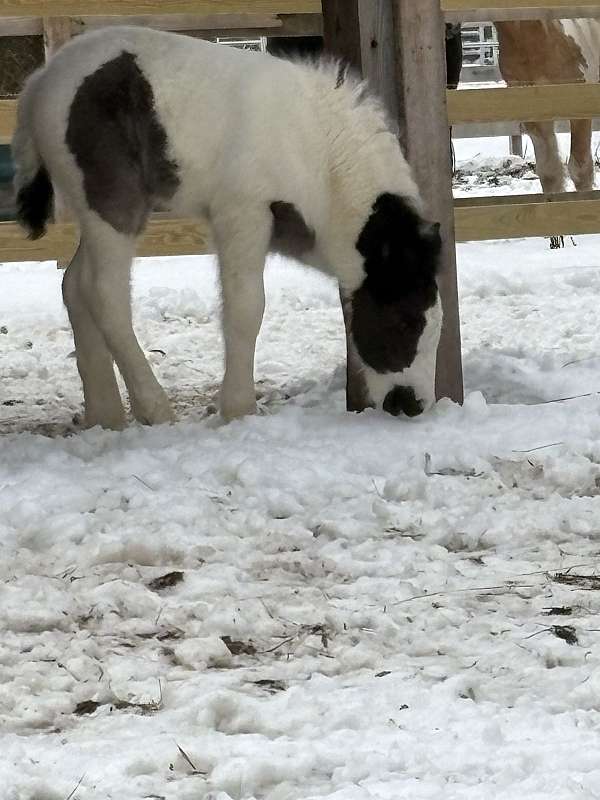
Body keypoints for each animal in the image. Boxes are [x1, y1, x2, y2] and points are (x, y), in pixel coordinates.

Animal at [14, 28, 442, 432]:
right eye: (406, 319)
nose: (413, 405)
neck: (313, 150)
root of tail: (41, 81)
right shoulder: (243, 213)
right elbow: (245, 309)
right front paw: (239, 409)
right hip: (112, 205)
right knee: (103, 293)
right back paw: (153, 408)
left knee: (73, 285)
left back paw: (106, 416)